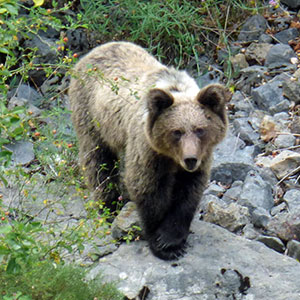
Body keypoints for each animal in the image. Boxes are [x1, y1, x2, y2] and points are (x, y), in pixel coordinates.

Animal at [68, 41, 227, 260]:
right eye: (176, 131)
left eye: (200, 129)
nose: (190, 159)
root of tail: (94, 51)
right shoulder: (147, 148)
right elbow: (146, 186)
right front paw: (161, 243)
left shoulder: (203, 156)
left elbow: (189, 192)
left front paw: (172, 238)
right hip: (92, 116)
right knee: (97, 160)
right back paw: (109, 207)